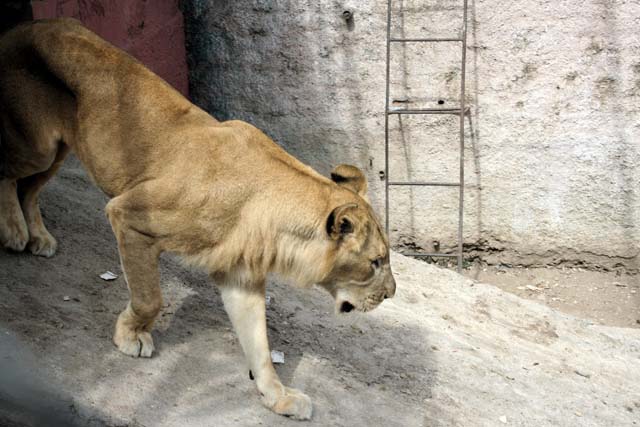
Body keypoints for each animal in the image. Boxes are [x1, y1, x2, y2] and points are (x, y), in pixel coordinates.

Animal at [0, 19, 396, 420]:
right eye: (376, 262)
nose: (390, 294)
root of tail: (23, 26)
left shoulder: (240, 276)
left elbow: (260, 344)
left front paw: (278, 396)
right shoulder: (128, 215)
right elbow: (150, 298)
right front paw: (131, 337)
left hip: (58, 149)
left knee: (29, 188)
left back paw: (38, 237)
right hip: (38, 147)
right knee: (8, 173)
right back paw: (13, 231)